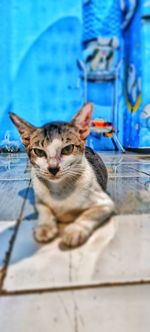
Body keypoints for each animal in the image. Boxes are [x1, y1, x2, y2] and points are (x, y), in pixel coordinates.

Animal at [9, 102, 115, 248]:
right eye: (39, 152)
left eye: (68, 149)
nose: (53, 168)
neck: (59, 190)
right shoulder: (39, 199)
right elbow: (44, 210)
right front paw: (45, 226)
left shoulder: (104, 203)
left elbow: (88, 215)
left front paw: (75, 230)